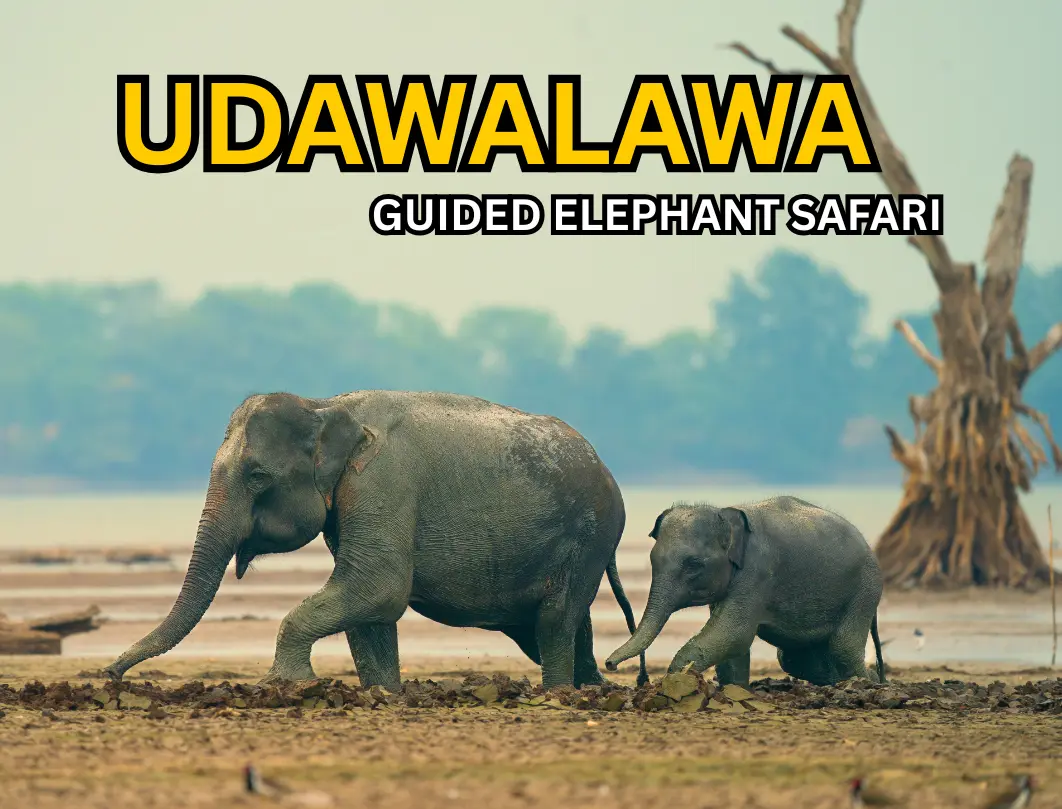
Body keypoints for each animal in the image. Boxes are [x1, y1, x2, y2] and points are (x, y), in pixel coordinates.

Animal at [102, 390, 648, 690]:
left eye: (257, 477)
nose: (111, 672)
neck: (326, 407)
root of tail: (605, 467)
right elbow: (370, 609)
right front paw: (384, 693)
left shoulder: (384, 482)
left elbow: (378, 587)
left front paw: (286, 683)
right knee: (558, 625)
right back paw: (593, 686)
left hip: (592, 534)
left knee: (555, 620)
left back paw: (560, 693)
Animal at [605, 495, 885, 687]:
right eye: (652, 561)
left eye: (693, 564)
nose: (610, 664)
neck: (726, 512)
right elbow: (731, 640)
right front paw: (734, 689)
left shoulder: (757, 572)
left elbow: (733, 633)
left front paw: (677, 681)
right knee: (794, 657)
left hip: (865, 589)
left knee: (843, 647)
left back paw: (867, 682)